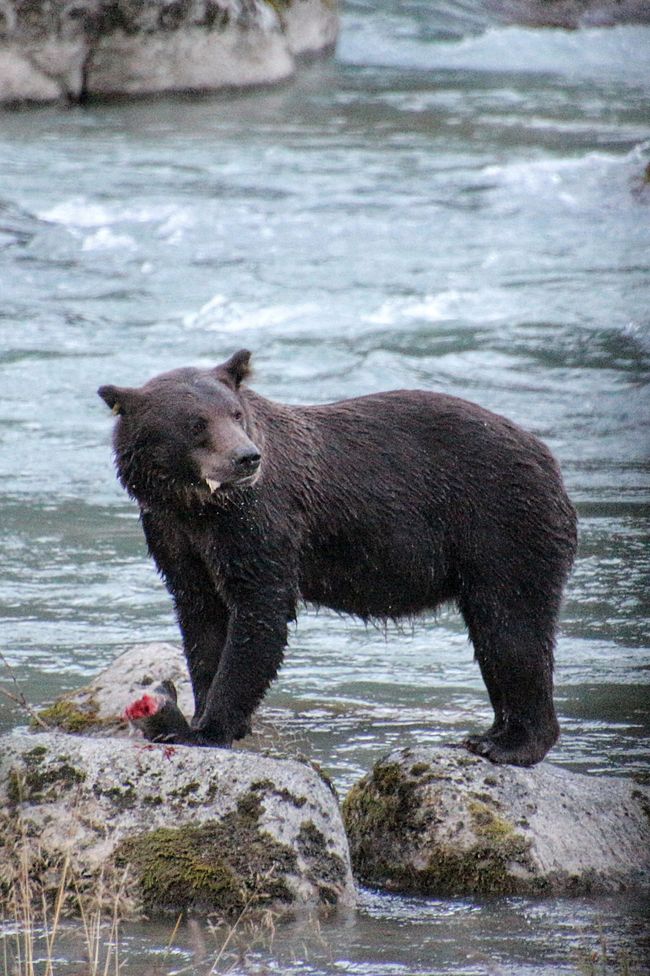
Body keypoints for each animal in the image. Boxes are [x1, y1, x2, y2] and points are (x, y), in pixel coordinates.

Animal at [98, 346, 576, 768]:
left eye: (234, 413)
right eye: (196, 423)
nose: (246, 458)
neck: (198, 505)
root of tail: (549, 458)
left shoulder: (258, 524)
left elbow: (258, 613)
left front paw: (207, 728)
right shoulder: (172, 534)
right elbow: (201, 617)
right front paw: (195, 714)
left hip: (501, 526)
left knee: (512, 627)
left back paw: (510, 743)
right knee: (495, 636)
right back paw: (495, 732)